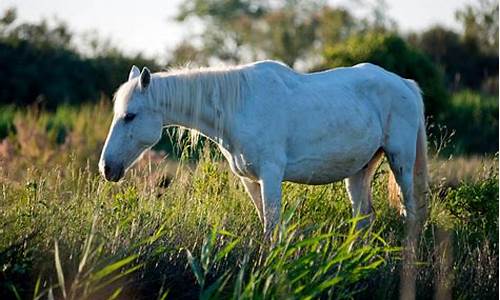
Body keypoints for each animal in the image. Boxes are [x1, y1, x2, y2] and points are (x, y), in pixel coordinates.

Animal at [99, 60, 428, 234]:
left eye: (130, 116)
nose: (107, 168)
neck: (240, 106)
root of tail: (405, 83)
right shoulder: (251, 180)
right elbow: (265, 226)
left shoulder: (271, 176)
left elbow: (272, 227)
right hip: (360, 170)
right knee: (364, 218)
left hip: (400, 161)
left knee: (411, 213)